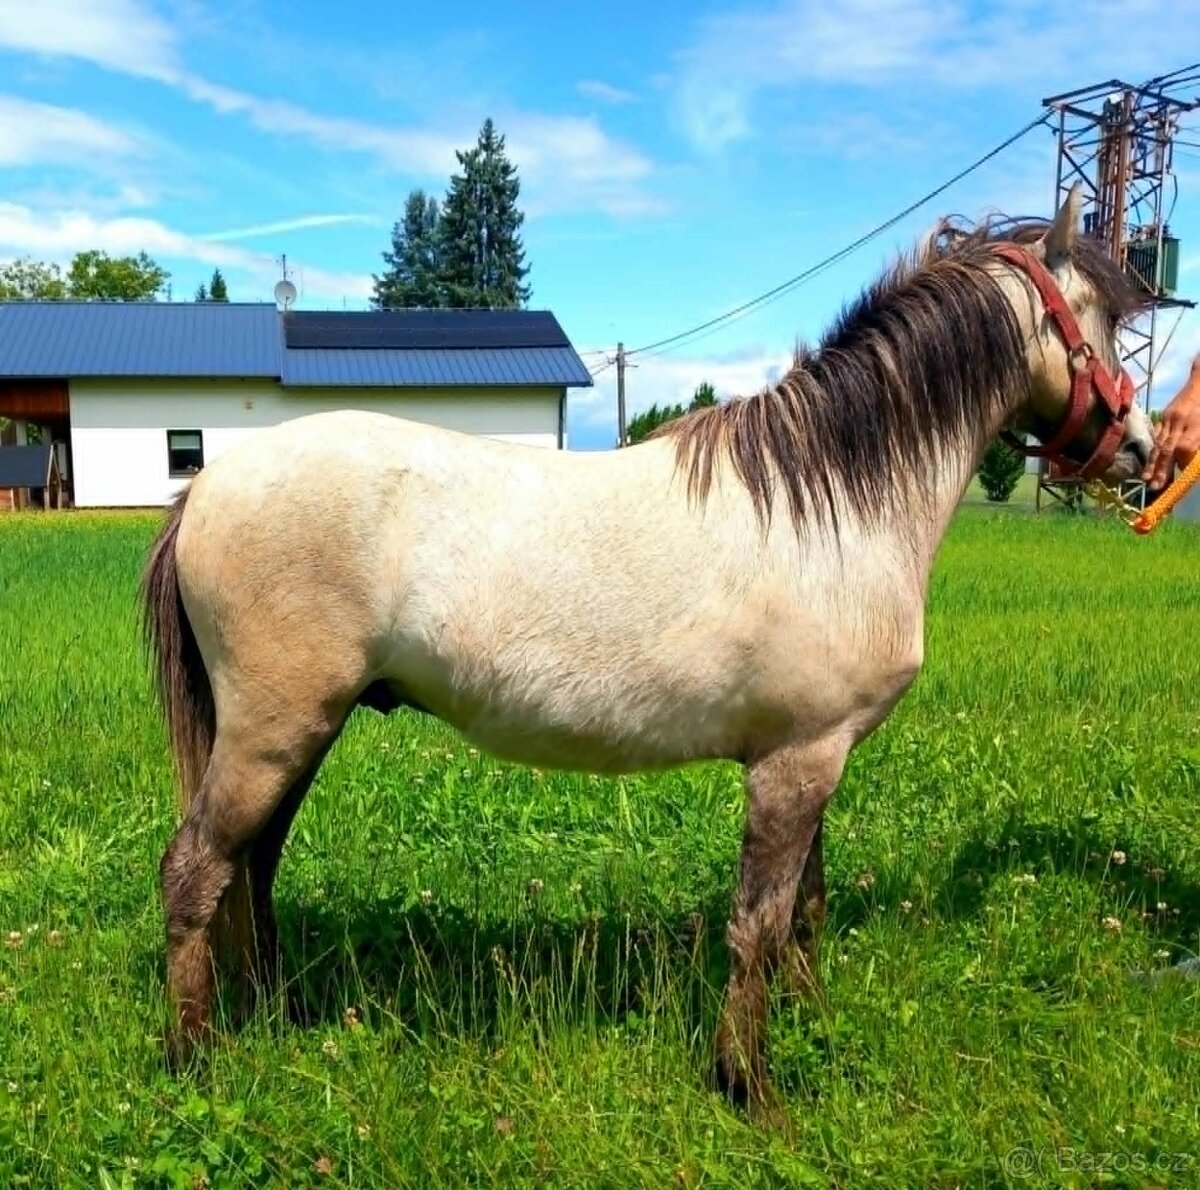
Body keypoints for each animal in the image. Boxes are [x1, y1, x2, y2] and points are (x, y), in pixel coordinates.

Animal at [140, 183, 1155, 1112]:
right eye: (1102, 320)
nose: (1142, 451)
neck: (831, 504)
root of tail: (209, 486)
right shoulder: (794, 765)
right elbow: (759, 924)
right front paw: (749, 1086)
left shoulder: (818, 756)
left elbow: (806, 912)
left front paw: (811, 1023)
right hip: (273, 731)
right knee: (197, 872)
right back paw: (193, 1062)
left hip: (300, 732)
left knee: (253, 866)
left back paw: (272, 1011)